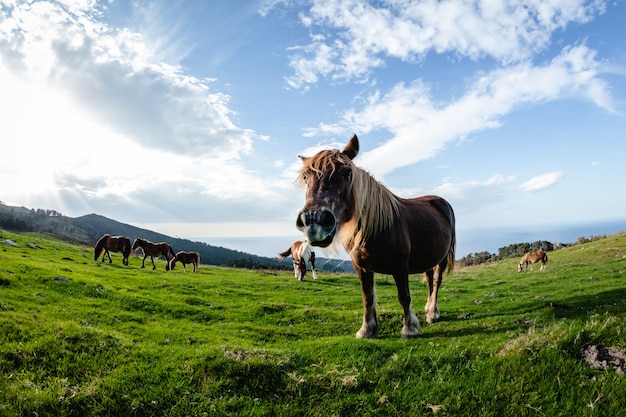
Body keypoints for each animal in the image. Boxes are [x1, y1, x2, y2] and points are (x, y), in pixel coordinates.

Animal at [292, 136, 454, 338]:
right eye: (306, 176)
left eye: (347, 172)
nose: (314, 220)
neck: (377, 229)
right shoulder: (361, 267)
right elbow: (367, 297)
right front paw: (367, 329)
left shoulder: (400, 266)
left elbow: (404, 296)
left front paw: (409, 328)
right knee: (430, 281)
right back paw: (428, 310)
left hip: (442, 259)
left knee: (437, 281)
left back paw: (433, 313)